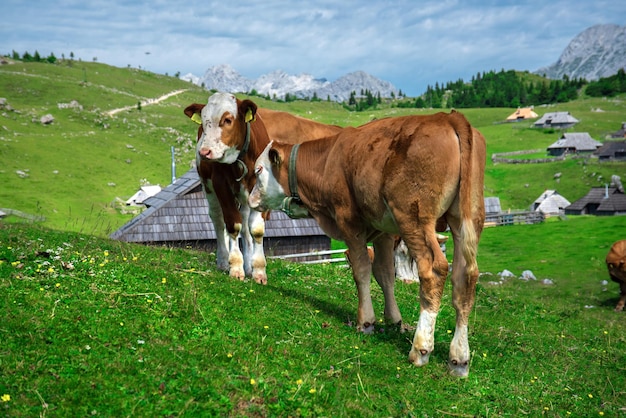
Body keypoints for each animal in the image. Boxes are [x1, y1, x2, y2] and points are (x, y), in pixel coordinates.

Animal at [183, 93, 342, 284]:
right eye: (204, 119)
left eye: (227, 119)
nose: (205, 151)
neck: (241, 160)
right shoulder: (221, 185)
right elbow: (232, 226)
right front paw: (235, 267)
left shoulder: (262, 189)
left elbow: (256, 230)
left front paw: (258, 270)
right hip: (208, 186)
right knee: (218, 220)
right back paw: (223, 260)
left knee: (245, 225)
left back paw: (248, 265)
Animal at [246, 109, 486, 378]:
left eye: (258, 170)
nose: (250, 199)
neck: (327, 161)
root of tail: (447, 117)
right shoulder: (383, 231)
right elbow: (385, 273)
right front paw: (394, 319)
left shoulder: (350, 223)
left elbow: (361, 270)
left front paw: (366, 321)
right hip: (467, 219)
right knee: (465, 278)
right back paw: (459, 358)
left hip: (413, 218)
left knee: (434, 270)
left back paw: (421, 348)